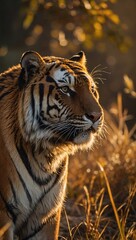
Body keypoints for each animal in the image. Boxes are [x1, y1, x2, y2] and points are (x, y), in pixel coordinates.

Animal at [0, 50, 103, 238]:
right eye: (65, 89)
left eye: (92, 90)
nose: (97, 115)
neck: (46, 154)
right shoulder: (3, 214)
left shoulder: (46, 215)